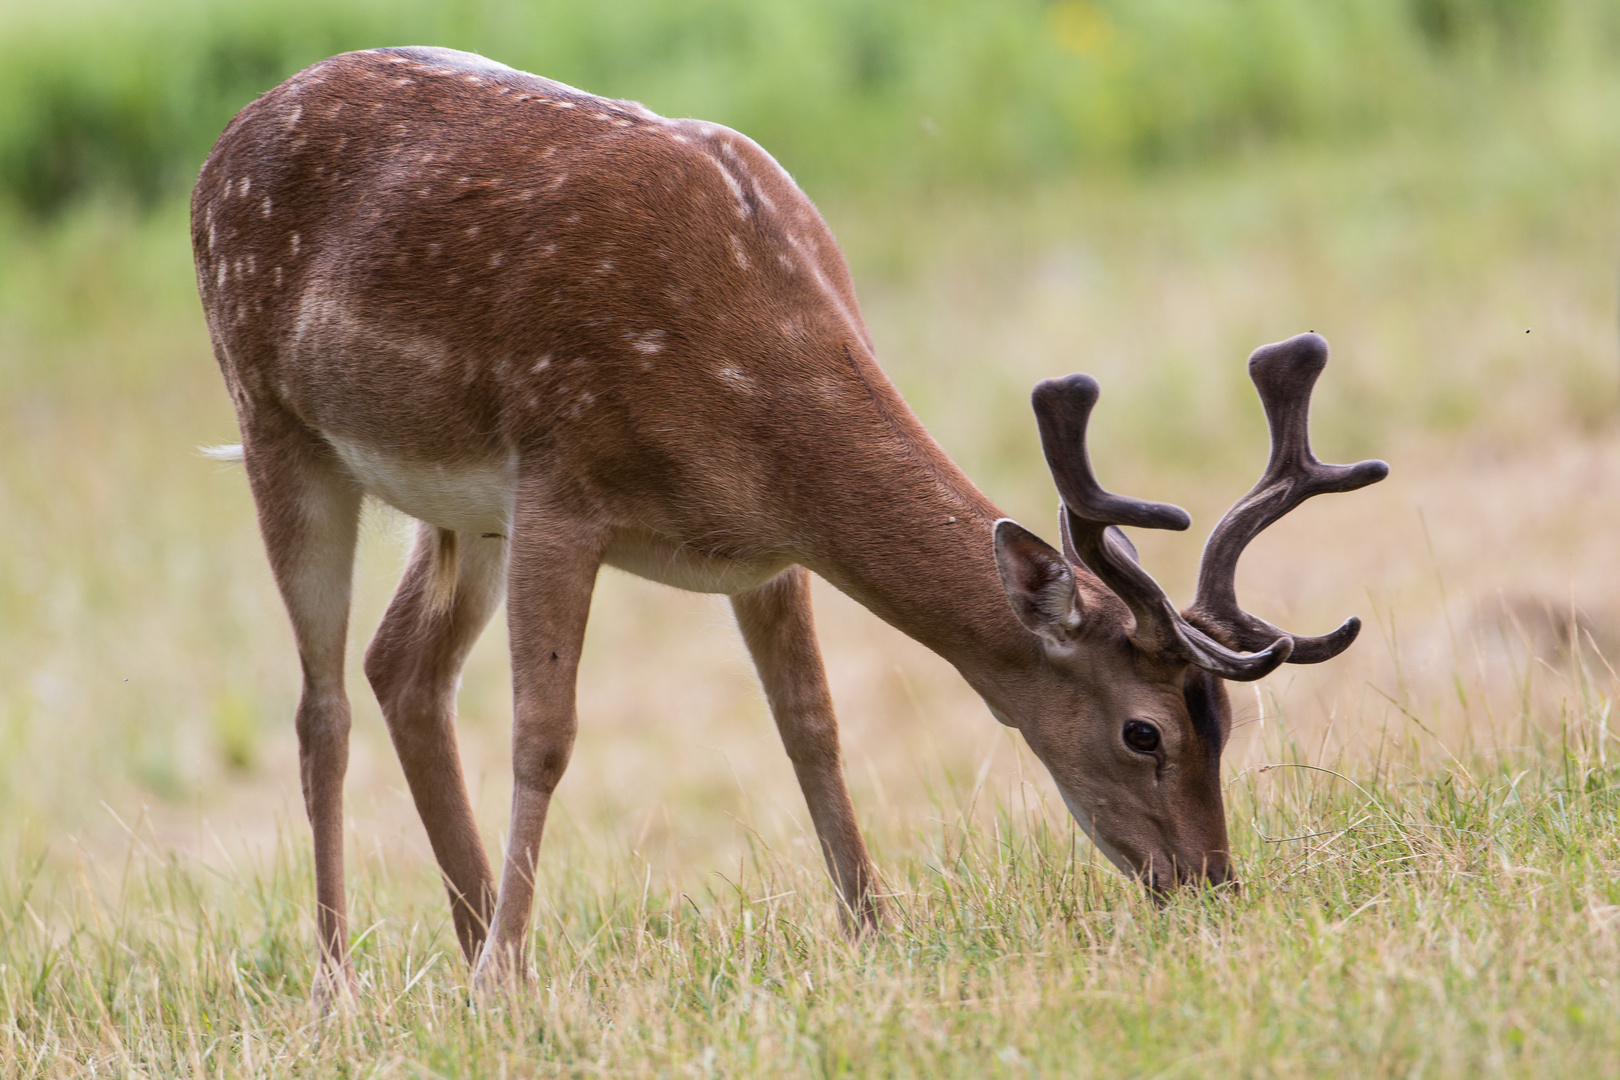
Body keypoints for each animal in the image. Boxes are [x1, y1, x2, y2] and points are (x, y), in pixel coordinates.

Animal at [186, 48, 1380, 997]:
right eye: (1146, 731)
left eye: (1226, 724)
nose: (1209, 882)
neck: (752, 406)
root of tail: (222, 143)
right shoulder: (560, 477)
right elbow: (544, 734)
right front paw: (503, 989)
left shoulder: (766, 553)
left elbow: (812, 724)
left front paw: (875, 931)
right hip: (274, 420)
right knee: (322, 708)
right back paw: (349, 984)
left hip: (457, 514)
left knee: (403, 669)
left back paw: (477, 934)